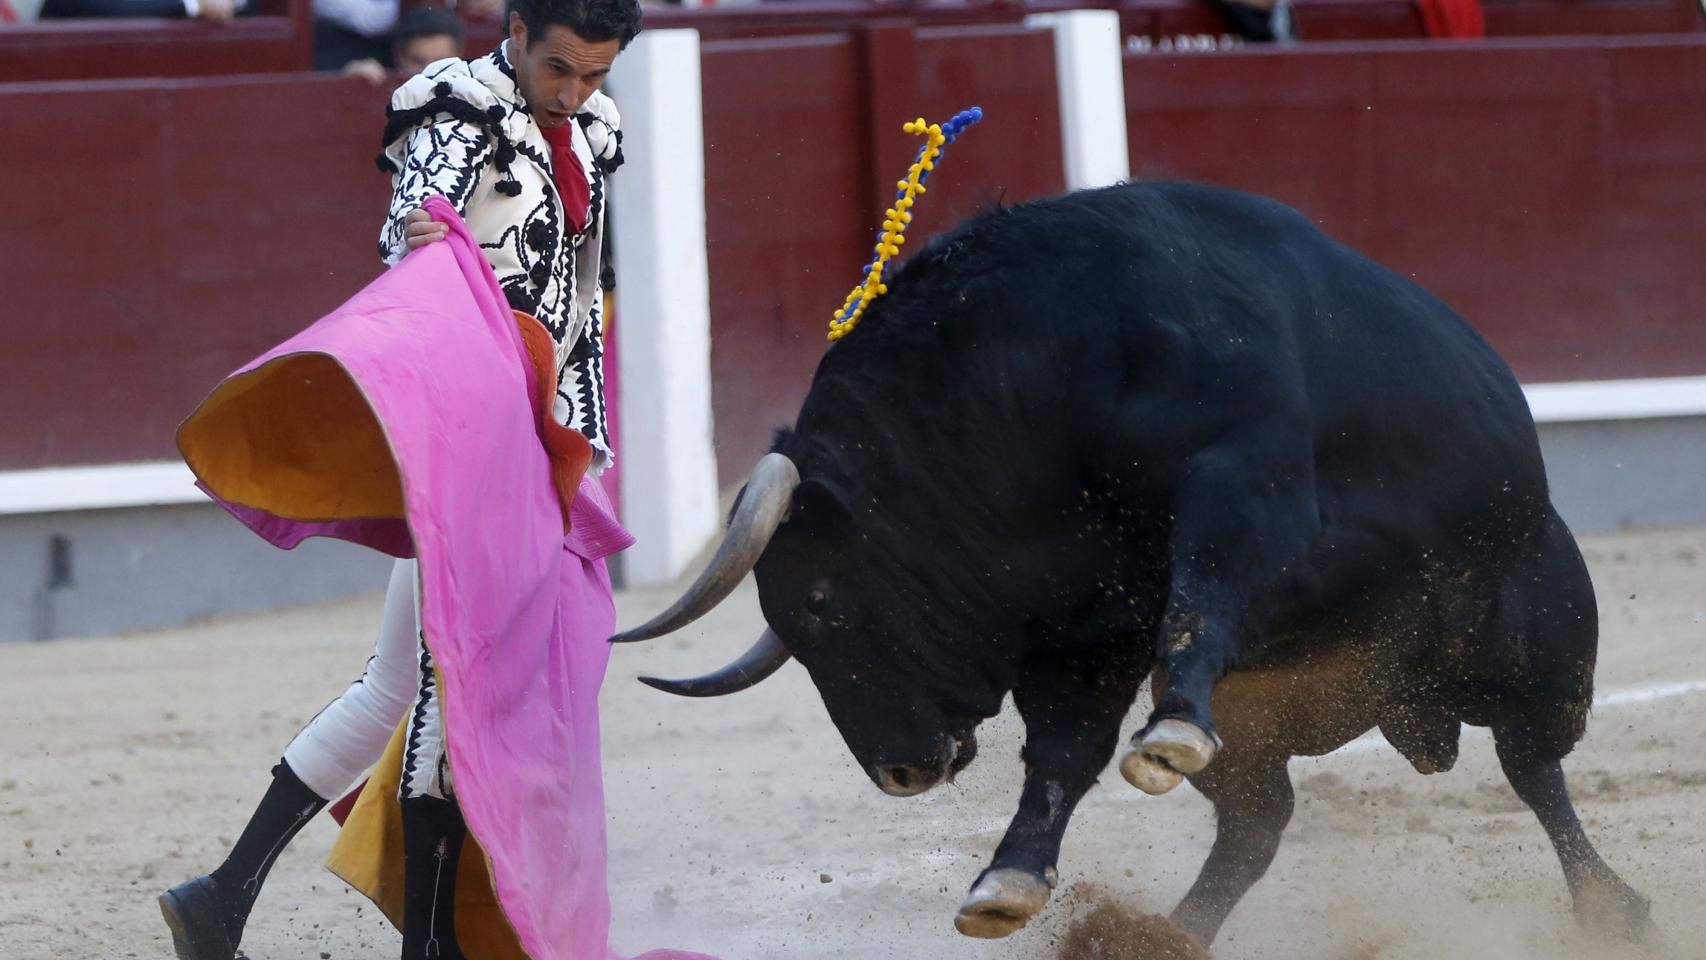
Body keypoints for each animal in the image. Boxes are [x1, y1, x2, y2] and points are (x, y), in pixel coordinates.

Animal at [611, 181, 1654, 945]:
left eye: (824, 601)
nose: (899, 771)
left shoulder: (1243, 499)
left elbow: (1199, 606)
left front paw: (1171, 730)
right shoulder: (1080, 634)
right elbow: (1063, 754)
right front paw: (1008, 880)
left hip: (1541, 646)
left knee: (1533, 766)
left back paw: (1613, 908)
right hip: (1271, 728)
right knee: (1256, 823)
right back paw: (1169, 938)